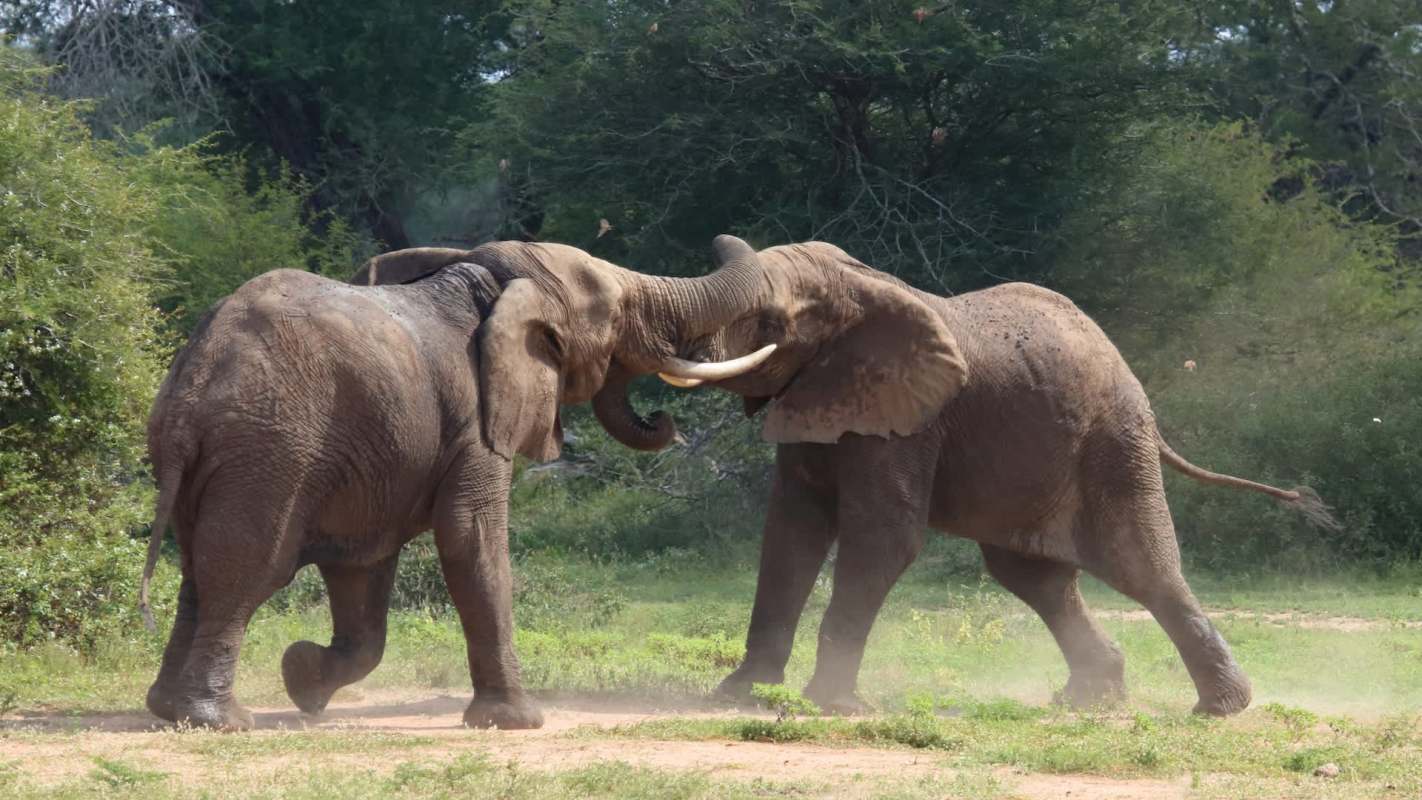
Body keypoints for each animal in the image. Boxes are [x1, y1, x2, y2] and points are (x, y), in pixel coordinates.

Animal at [137, 241, 776, 731]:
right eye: (617, 311)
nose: (666, 421)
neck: (491, 280)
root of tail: (195, 376)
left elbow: (364, 570)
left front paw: (303, 681)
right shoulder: (478, 419)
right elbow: (472, 537)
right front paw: (518, 722)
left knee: (197, 571)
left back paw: (169, 710)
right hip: (270, 451)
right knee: (247, 569)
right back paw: (218, 720)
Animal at [631, 236, 1338, 717]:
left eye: (772, 325)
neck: (856, 294)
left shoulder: (911, 421)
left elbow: (883, 539)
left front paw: (831, 706)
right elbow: (790, 533)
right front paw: (738, 695)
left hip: (1114, 446)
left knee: (1141, 568)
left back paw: (1219, 708)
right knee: (1032, 576)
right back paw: (1088, 699)